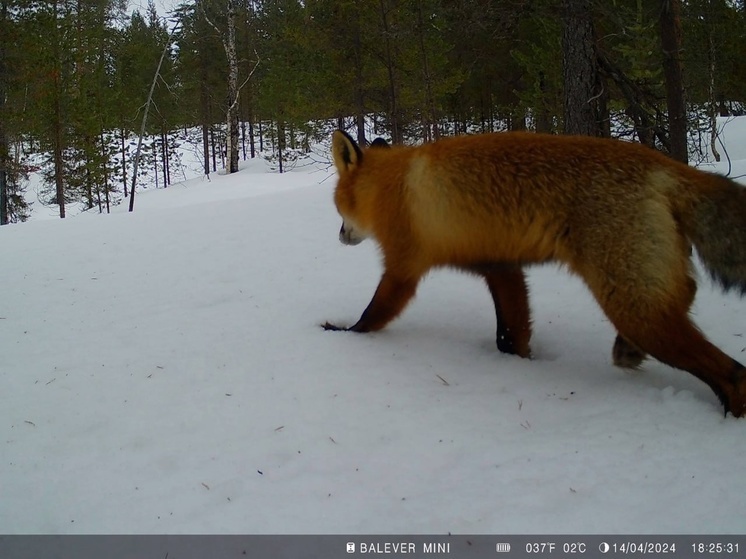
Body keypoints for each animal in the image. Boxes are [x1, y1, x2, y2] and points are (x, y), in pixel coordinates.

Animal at [322, 128, 744, 416]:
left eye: (339, 210)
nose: (340, 236)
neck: (392, 187)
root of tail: (664, 165)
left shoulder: (403, 269)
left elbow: (370, 316)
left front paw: (339, 333)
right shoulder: (500, 267)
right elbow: (511, 334)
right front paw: (520, 365)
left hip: (636, 309)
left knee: (733, 373)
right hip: (646, 293)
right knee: (687, 292)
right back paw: (628, 349)